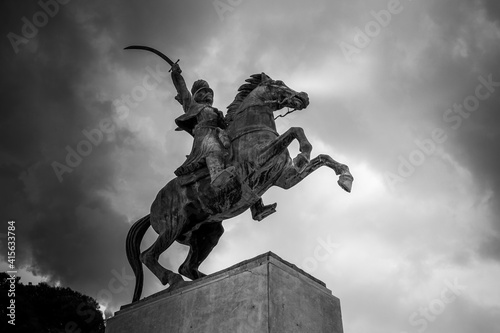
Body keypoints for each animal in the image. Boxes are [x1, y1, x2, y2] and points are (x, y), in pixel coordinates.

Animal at [125, 74, 352, 302]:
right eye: (277, 83)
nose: (303, 97)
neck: (252, 129)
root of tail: (151, 209)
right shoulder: (259, 159)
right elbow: (295, 130)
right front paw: (303, 154)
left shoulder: (285, 179)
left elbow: (323, 157)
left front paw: (345, 178)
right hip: (174, 225)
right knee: (149, 256)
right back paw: (174, 281)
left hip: (206, 232)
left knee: (187, 266)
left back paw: (207, 278)